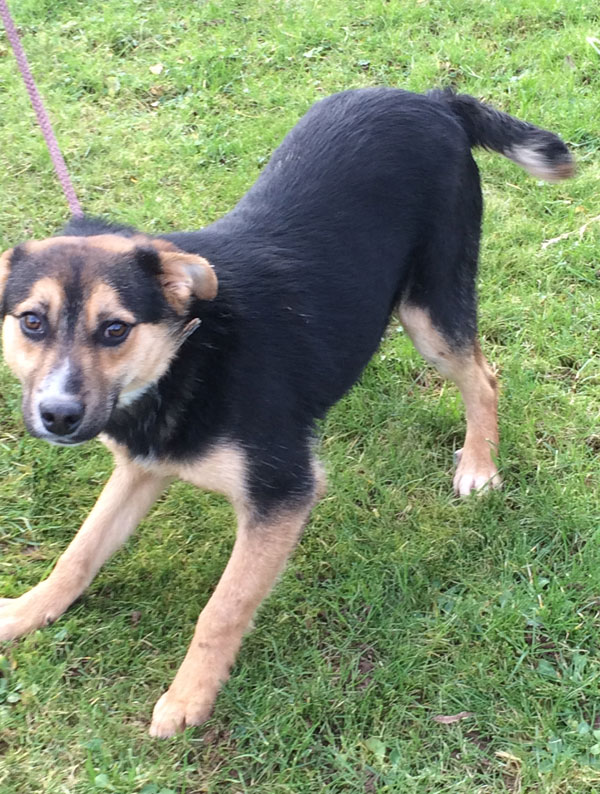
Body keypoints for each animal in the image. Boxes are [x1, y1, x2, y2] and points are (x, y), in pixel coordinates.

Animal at [0, 88, 572, 736]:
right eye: (32, 322)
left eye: (115, 329)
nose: (58, 416)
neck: (187, 352)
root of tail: (432, 98)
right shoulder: (141, 466)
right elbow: (78, 554)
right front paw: (28, 611)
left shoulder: (283, 492)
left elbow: (222, 609)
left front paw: (189, 697)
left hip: (432, 310)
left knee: (483, 378)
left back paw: (479, 465)